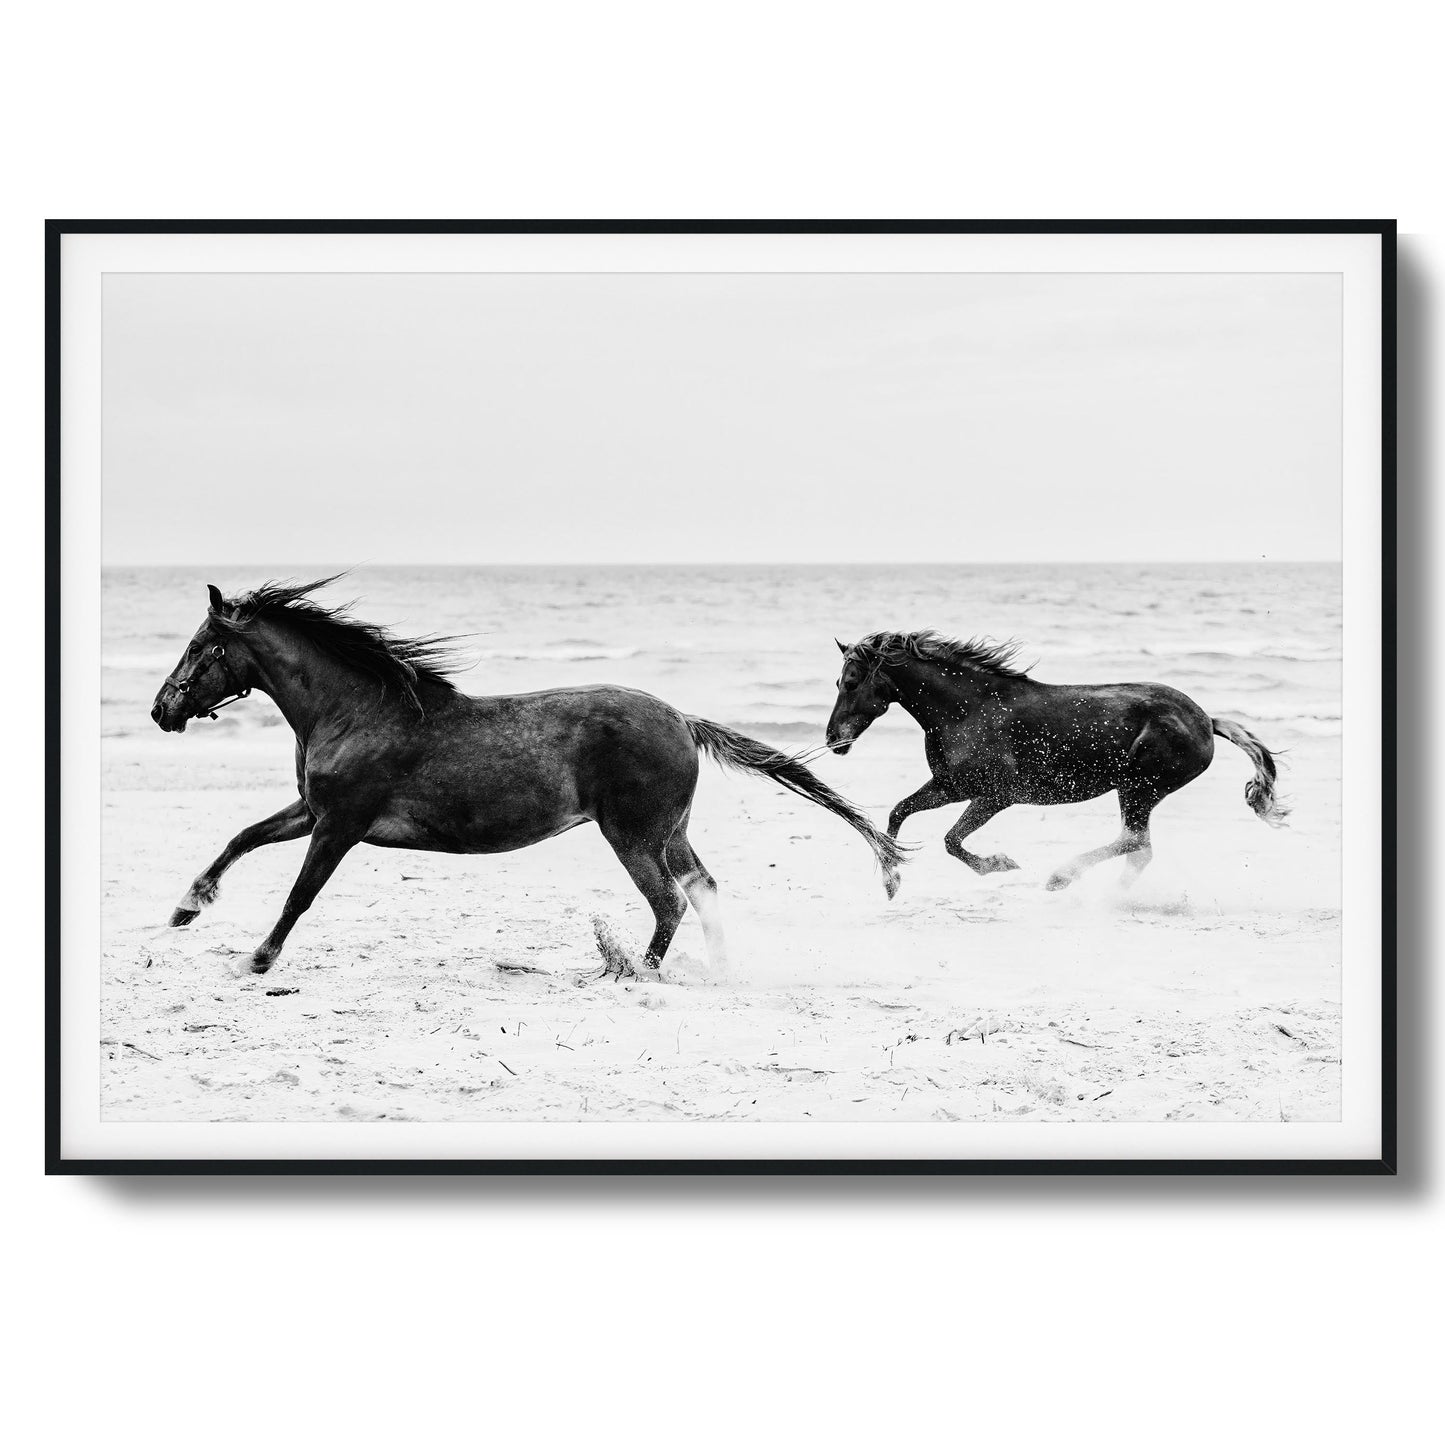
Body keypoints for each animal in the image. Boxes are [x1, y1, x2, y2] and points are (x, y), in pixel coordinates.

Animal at [150, 578, 906, 980]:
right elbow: (241, 837)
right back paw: (716, 971)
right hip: (670, 832)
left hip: (631, 835)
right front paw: (185, 909)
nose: (161, 710)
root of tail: (683, 720)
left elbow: (299, 895)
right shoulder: (313, 812)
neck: (357, 711)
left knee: (668, 902)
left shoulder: (340, 824)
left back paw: (638, 974)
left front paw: (257, 959)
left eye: (199, 646)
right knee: (703, 890)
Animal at [824, 630, 1288, 892]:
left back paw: (1063, 880)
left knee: (1135, 844)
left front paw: (1000, 865)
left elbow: (951, 840)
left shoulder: (995, 795)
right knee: (1138, 849)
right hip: (1137, 792)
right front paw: (891, 880)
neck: (967, 710)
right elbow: (898, 813)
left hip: (1139, 788)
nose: (832, 740)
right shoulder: (952, 787)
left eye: (852, 681)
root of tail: (1206, 721)